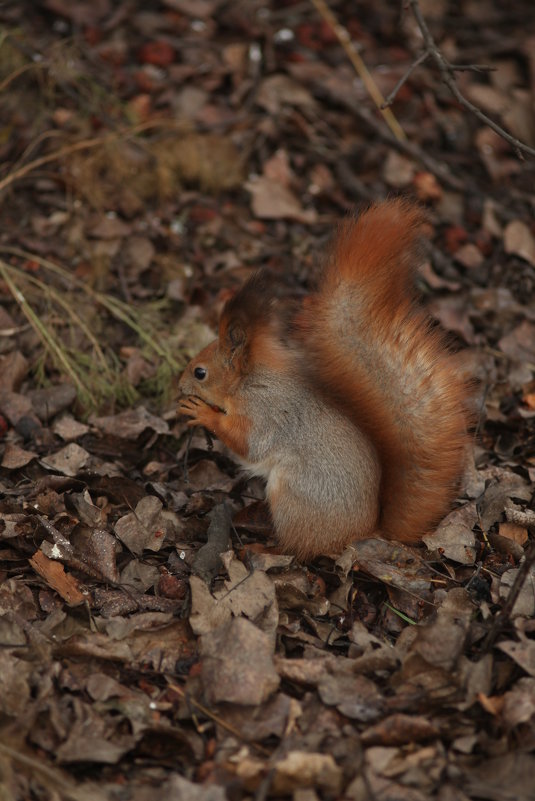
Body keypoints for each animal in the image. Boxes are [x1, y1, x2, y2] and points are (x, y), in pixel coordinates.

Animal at [178, 200, 472, 560]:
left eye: (200, 372)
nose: (179, 386)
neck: (248, 382)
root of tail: (362, 532)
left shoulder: (265, 412)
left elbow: (248, 441)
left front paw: (202, 413)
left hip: (293, 496)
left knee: (299, 547)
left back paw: (266, 546)